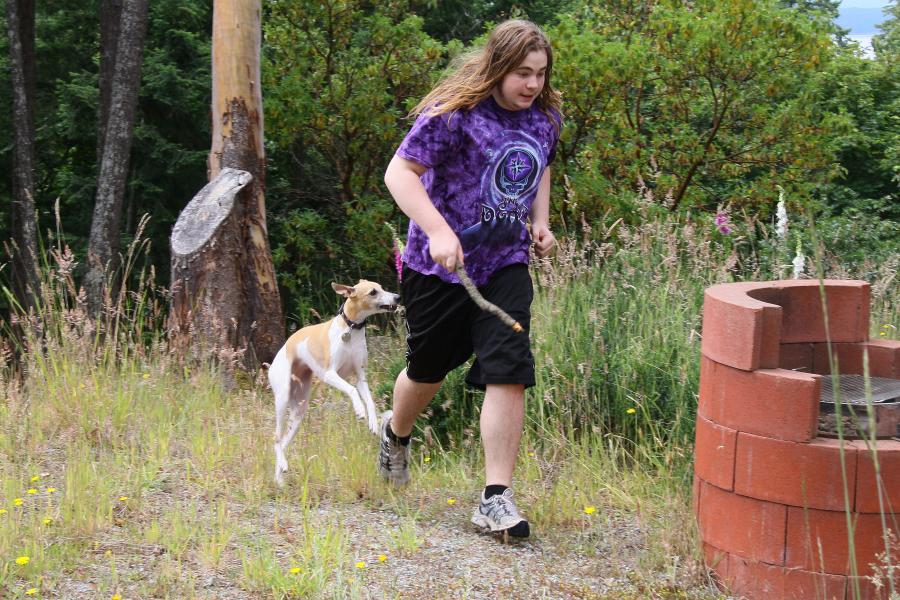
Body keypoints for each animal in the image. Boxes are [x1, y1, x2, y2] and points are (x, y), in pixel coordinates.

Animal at [269, 280, 401, 486]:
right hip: (282, 400)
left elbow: (369, 400)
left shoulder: (360, 376)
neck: (350, 329)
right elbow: (352, 390)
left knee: (282, 443)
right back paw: (281, 468)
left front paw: (372, 421)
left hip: (299, 411)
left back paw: (280, 478)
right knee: (275, 440)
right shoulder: (330, 374)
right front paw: (359, 410)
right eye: (373, 292)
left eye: (381, 287)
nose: (397, 297)